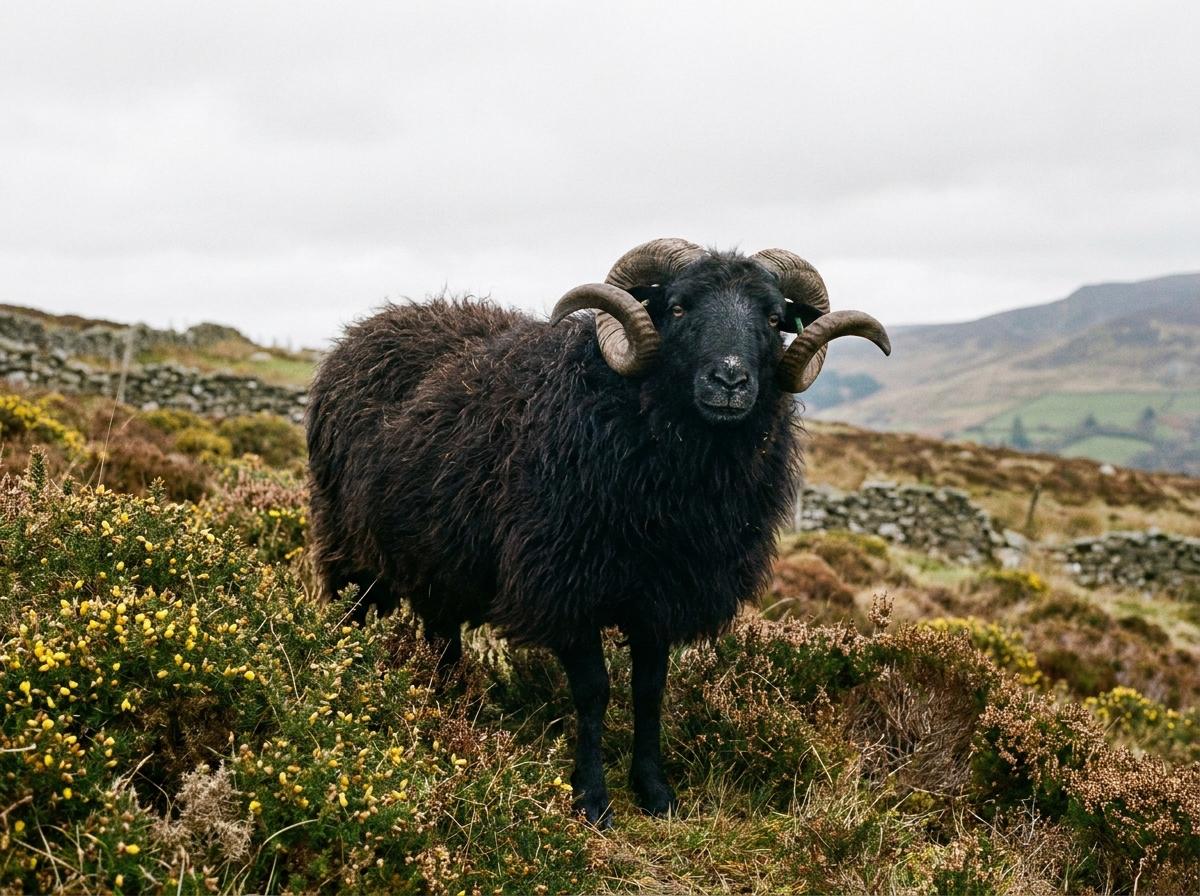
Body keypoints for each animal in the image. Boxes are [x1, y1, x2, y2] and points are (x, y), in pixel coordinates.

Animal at [305, 238, 890, 826]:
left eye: (772, 319)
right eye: (678, 307)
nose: (729, 381)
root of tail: (367, 327)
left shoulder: (662, 598)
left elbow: (649, 691)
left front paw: (655, 792)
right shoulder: (566, 590)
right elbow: (593, 692)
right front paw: (591, 799)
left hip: (437, 563)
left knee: (441, 635)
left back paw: (449, 703)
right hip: (350, 549)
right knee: (351, 614)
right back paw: (344, 681)